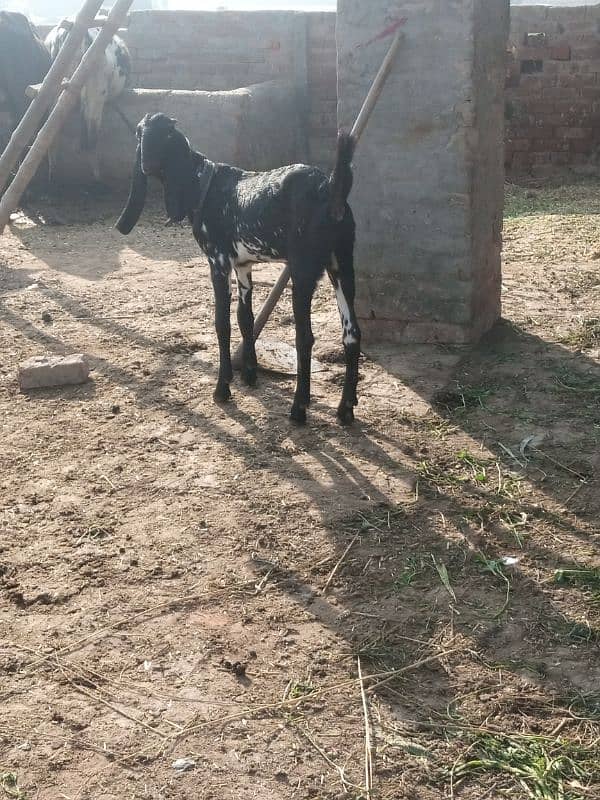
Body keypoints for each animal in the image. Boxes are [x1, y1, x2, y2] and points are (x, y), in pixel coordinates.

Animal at [45, 17, 131, 180]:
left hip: (57, 85)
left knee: (52, 129)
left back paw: (53, 174)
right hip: (97, 92)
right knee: (92, 136)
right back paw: (97, 179)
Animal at [116, 114, 360, 424]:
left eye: (157, 136)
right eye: (141, 134)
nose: (144, 162)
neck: (204, 184)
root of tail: (329, 189)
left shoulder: (218, 262)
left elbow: (222, 322)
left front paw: (223, 387)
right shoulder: (243, 265)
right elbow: (245, 317)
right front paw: (250, 374)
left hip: (304, 270)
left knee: (305, 337)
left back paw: (298, 408)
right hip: (342, 264)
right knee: (352, 333)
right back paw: (345, 408)